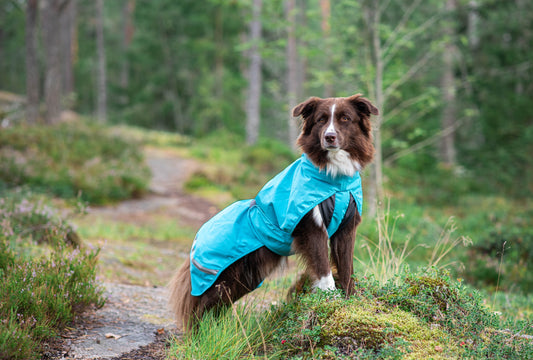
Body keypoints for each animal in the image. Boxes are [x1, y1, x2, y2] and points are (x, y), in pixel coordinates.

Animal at [168, 93, 376, 332]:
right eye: (321, 120)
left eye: (345, 118)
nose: (329, 137)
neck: (336, 182)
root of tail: (196, 240)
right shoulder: (312, 228)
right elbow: (323, 269)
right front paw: (331, 299)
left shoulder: (346, 228)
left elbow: (346, 266)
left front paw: (351, 301)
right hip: (223, 276)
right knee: (201, 307)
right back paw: (200, 335)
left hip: (246, 277)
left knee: (215, 307)